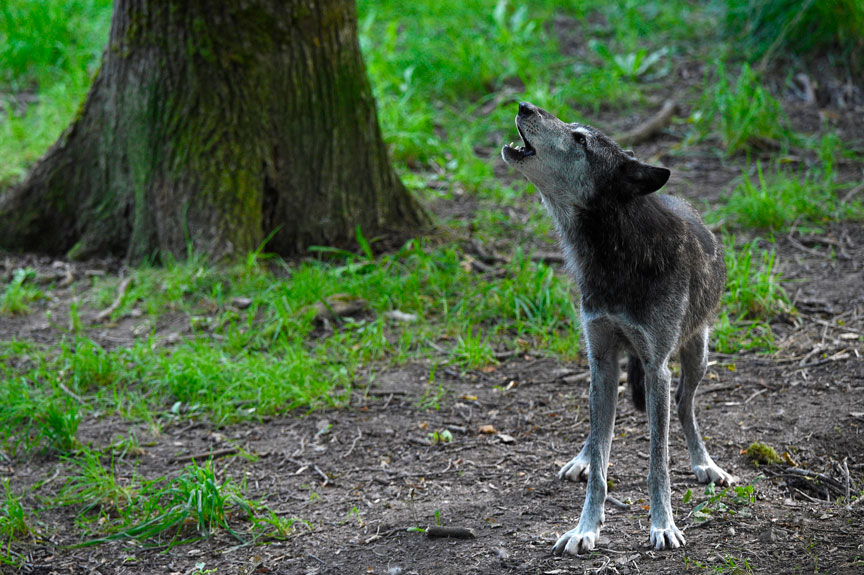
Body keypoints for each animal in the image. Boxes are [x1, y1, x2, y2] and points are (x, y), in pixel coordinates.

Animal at [500, 101, 736, 556]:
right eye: (572, 128)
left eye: (581, 140)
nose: (524, 105)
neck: (612, 253)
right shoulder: (602, 358)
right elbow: (602, 462)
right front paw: (585, 529)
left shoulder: (657, 367)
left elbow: (658, 464)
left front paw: (663, 525)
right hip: (603, 372)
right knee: (600, 434)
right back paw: (583, 458)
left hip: (696, 356)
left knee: (685, 405)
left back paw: (705, 464)